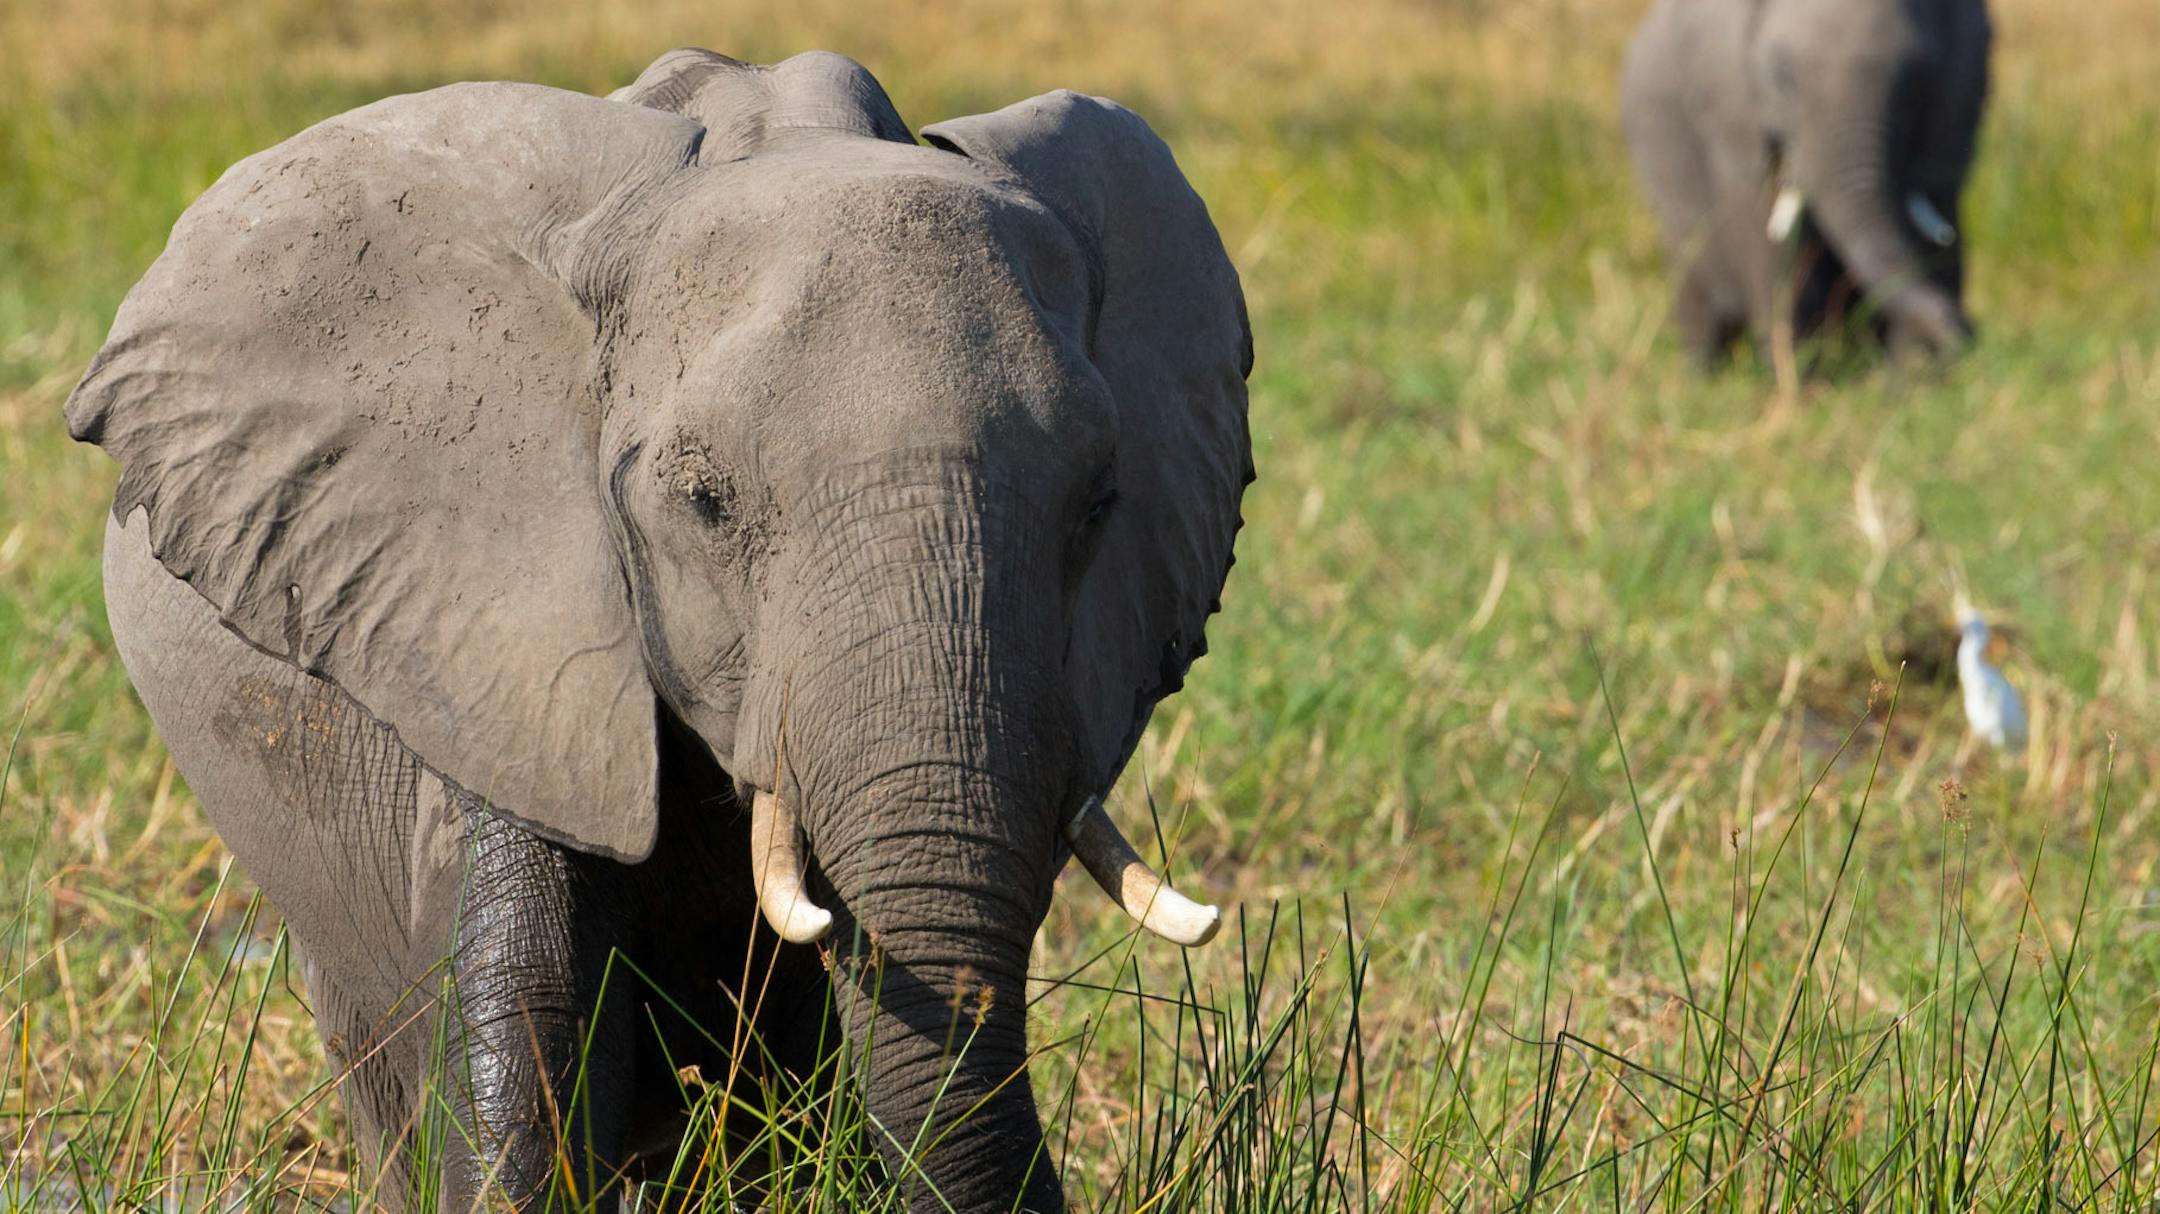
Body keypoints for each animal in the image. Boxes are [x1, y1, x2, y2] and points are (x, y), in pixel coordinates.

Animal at [1621, 0, 1992, 364]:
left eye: (1914, 78)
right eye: (1783, 80)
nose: (1969, 326)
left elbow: (1933, 221)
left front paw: (1915, 377)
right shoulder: (1734, 114)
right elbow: (1770, 239)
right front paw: (1800, 376)